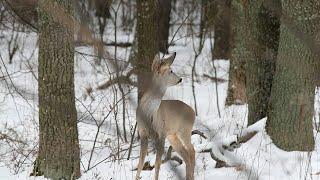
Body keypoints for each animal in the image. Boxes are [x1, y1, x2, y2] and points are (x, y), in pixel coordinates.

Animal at [135, 52, 195, 180]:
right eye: (171, 71)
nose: (180, 79)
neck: (150, 113)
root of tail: (193, 111)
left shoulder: (161, 133)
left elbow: (157, 163)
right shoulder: (142, 132)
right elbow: (141, 161)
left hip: (185, 130)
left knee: (192, 151)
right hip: (173, 135)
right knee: (186, 154)